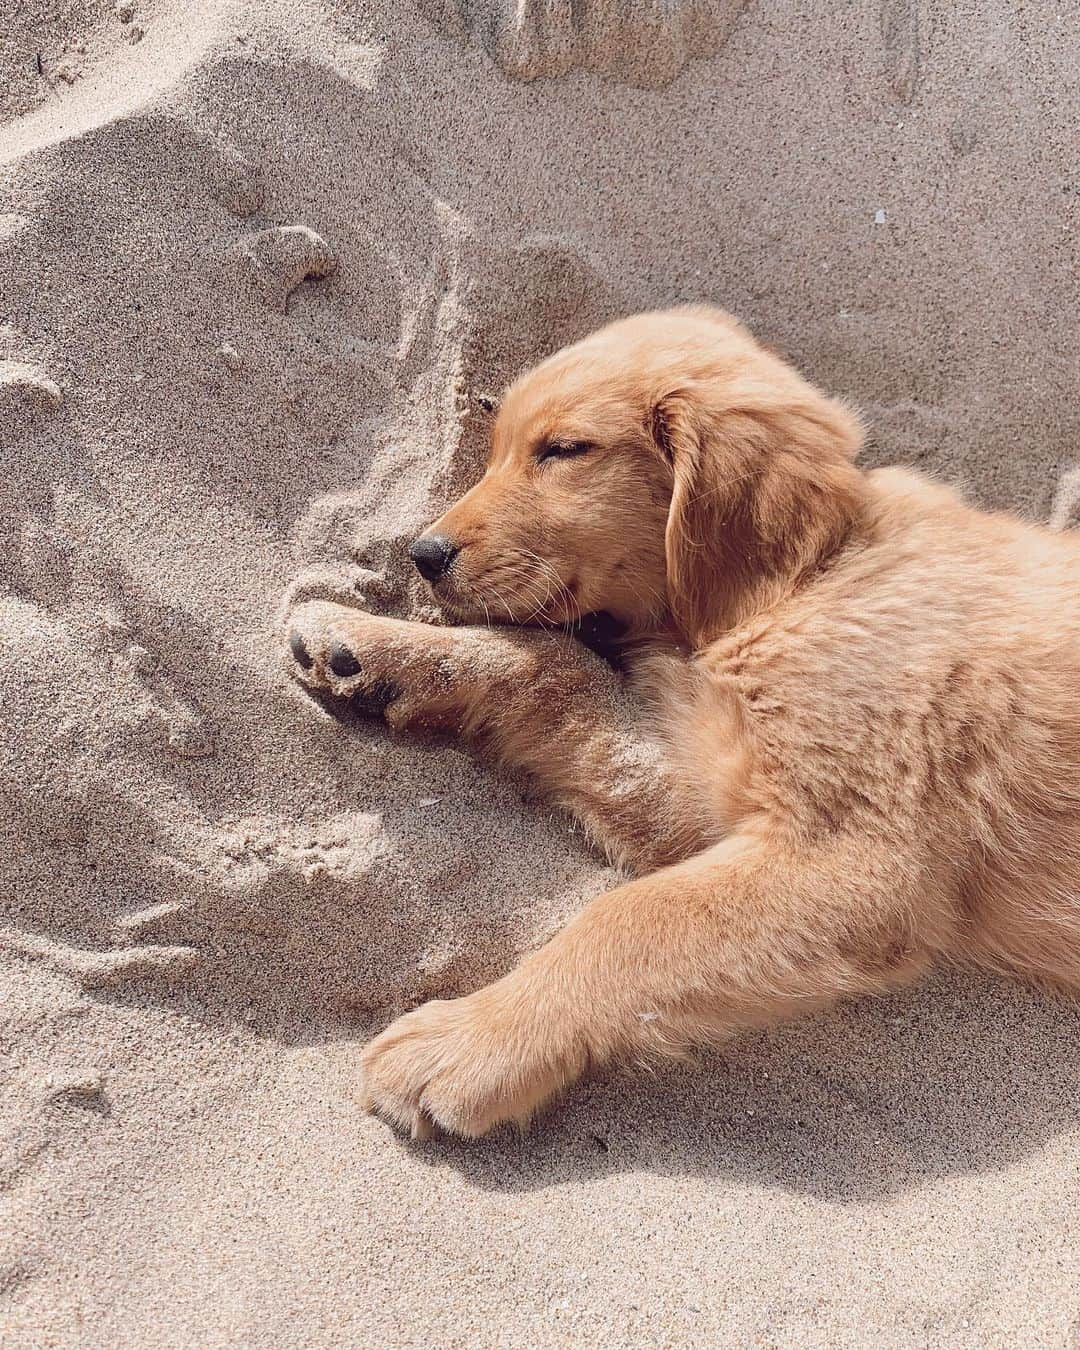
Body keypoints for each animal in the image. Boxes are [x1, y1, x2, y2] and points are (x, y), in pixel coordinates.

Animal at [284, 306, 1080, 1139]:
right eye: (497, 444)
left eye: (562, 451)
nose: (422, 552)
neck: (800, 581)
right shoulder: (718, 804)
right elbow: (559, 670)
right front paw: (372, 646)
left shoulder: (852, 853)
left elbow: (628, 920)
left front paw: (468, 1042)